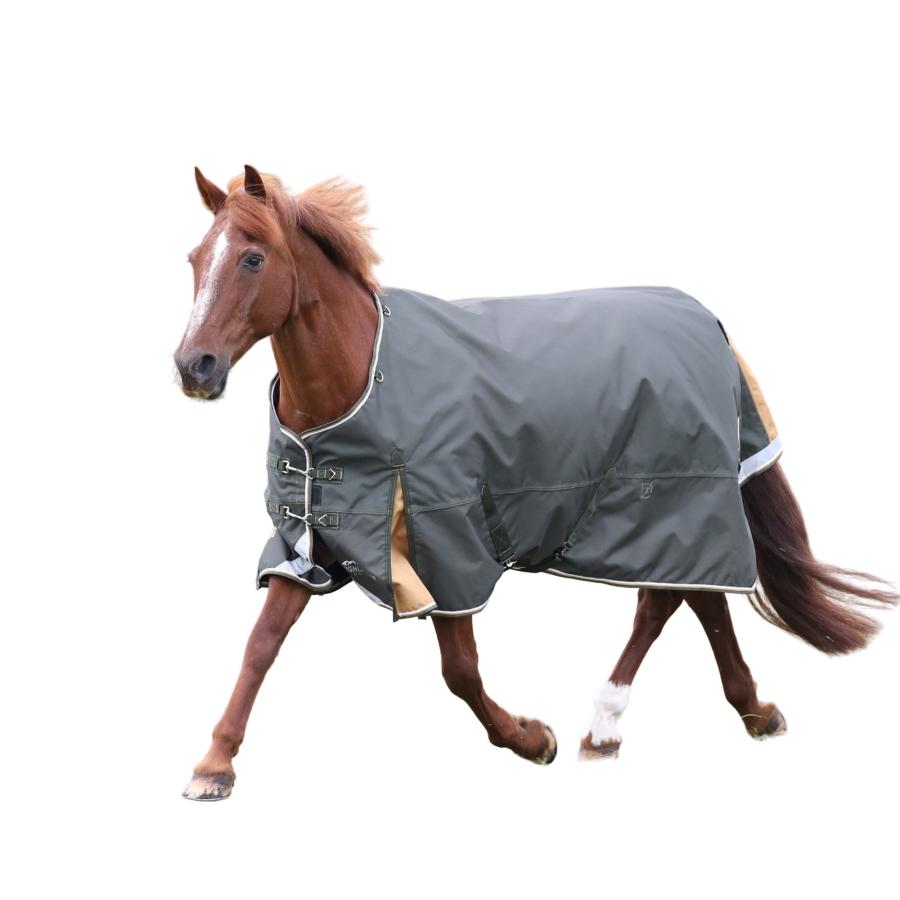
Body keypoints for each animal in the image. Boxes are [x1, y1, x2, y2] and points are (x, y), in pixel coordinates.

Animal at [175, 166, 896, 801]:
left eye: (253, 259)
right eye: (194, 258)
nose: (194, 366)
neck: (358, 387)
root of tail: (707, 321)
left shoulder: (447, 546)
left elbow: (460, 671)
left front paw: (529, 738)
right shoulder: (310, 543)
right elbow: (260, 645)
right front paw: (214, 766)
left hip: (666, 498)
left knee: (667, 601)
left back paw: (613, 723)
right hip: (672, 510)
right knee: (696, 597)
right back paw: (729, 715)